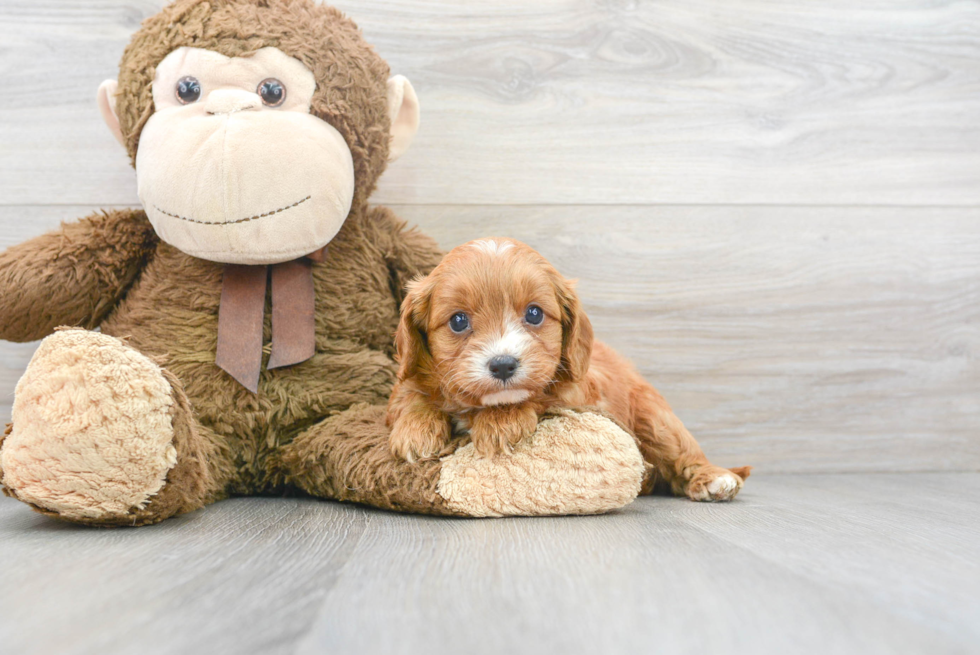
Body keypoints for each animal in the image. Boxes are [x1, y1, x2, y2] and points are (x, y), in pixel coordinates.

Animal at [386, 240, 756, 502]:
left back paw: (714, 479)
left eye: (534, 314)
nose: (503, 364)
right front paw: (415, 430)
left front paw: (501, 421)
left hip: (655, 418)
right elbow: (410, 393)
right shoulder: (407, 379)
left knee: (683, 455)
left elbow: (542, 395)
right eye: (458, 321)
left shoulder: (580, 392)